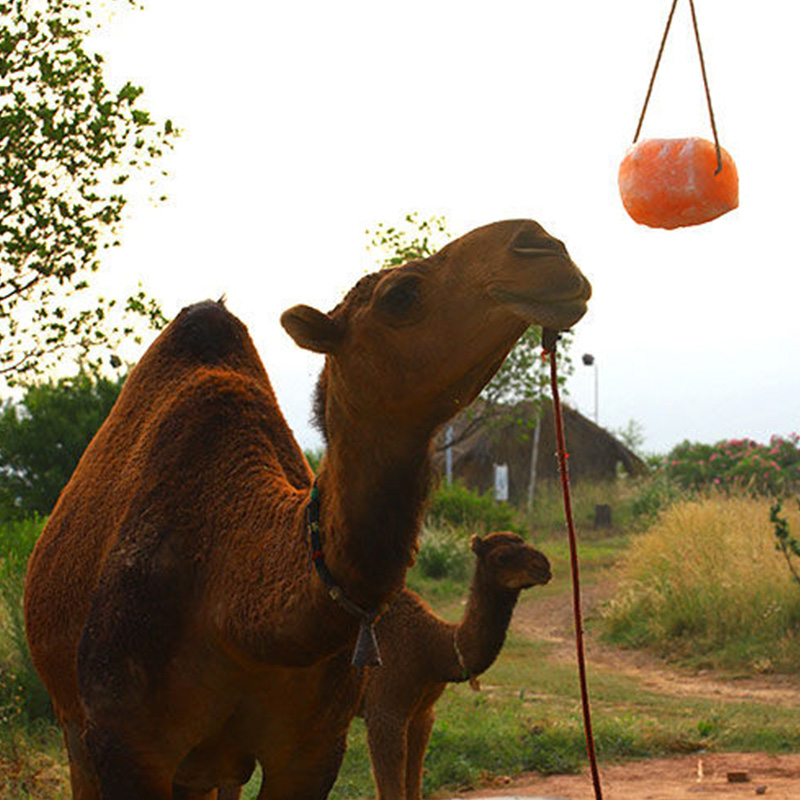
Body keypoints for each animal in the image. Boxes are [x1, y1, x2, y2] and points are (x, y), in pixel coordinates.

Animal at [360, 532, 551, 800]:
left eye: (524, 541)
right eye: (502, 556)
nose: (543, 566)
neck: (431, 647)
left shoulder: (422, 713)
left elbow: (414, 784)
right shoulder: (384, 711)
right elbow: (392, 790)